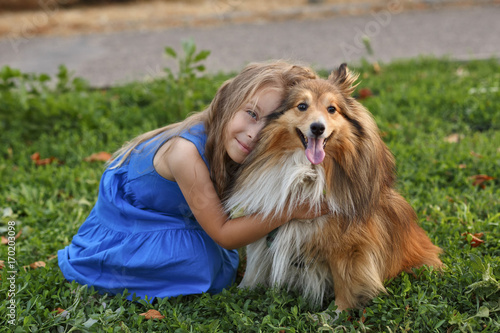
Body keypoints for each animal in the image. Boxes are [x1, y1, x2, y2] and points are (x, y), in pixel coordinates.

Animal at [225, 63, 444, 310]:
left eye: (332, 109)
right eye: (302, 106)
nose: (317, 128)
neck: (309, 172)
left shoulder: (348, 246)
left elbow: (344, 281)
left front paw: (336, 313)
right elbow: (255, 264)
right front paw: (242, 291)